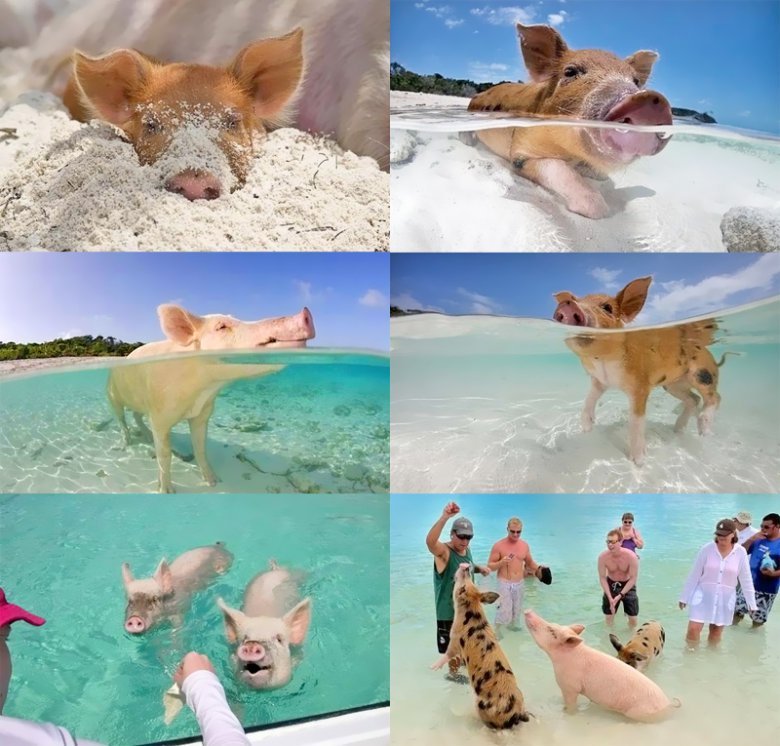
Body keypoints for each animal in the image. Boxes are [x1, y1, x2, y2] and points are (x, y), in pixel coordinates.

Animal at [107, 303, 315, 493]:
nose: (305, 312)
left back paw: (147, 437)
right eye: (221, 326)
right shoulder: (159, 415)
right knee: (122, 419)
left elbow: (200, 448)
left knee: (136, 416)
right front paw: (166, 491)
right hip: (112, 394)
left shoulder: (203, 412)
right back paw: (125, 445)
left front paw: (214, 482)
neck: (205, 389)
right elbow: (164, 455)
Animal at [431, 563, 530, 730]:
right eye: (471, 582)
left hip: (481, 705)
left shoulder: (455, 638)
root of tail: (516, 713)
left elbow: (448, 653)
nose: (465, 566)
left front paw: (432, 667)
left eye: (463, 587)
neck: (471, 614)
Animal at [467, 24, 672, 218]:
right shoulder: (521, 152)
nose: (650, 98)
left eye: (636, 81)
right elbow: (560, 169)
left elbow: (600, 174)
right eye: (570, 72)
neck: (571, 153)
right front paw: (601, 210)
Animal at [524, 610, 678, 721]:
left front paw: (565, 712)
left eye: (552, 631)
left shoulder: (569, 686)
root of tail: (668, 704)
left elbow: (570, 704)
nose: (528, 610)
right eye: (553, 625)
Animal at [553, 276, 733, 465]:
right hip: (672, 384)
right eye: (578, 300)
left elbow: (636, 422)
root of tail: (709, 354)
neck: (603, 361)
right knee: (694, 399)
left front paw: (638, 462)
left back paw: (703, 431)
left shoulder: (640, 386)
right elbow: (589, 399)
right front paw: (587, 429)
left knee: (715, 397)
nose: (567, 304)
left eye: (607, 307)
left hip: (703, 373)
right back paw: (677, 429)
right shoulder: (599, 381)